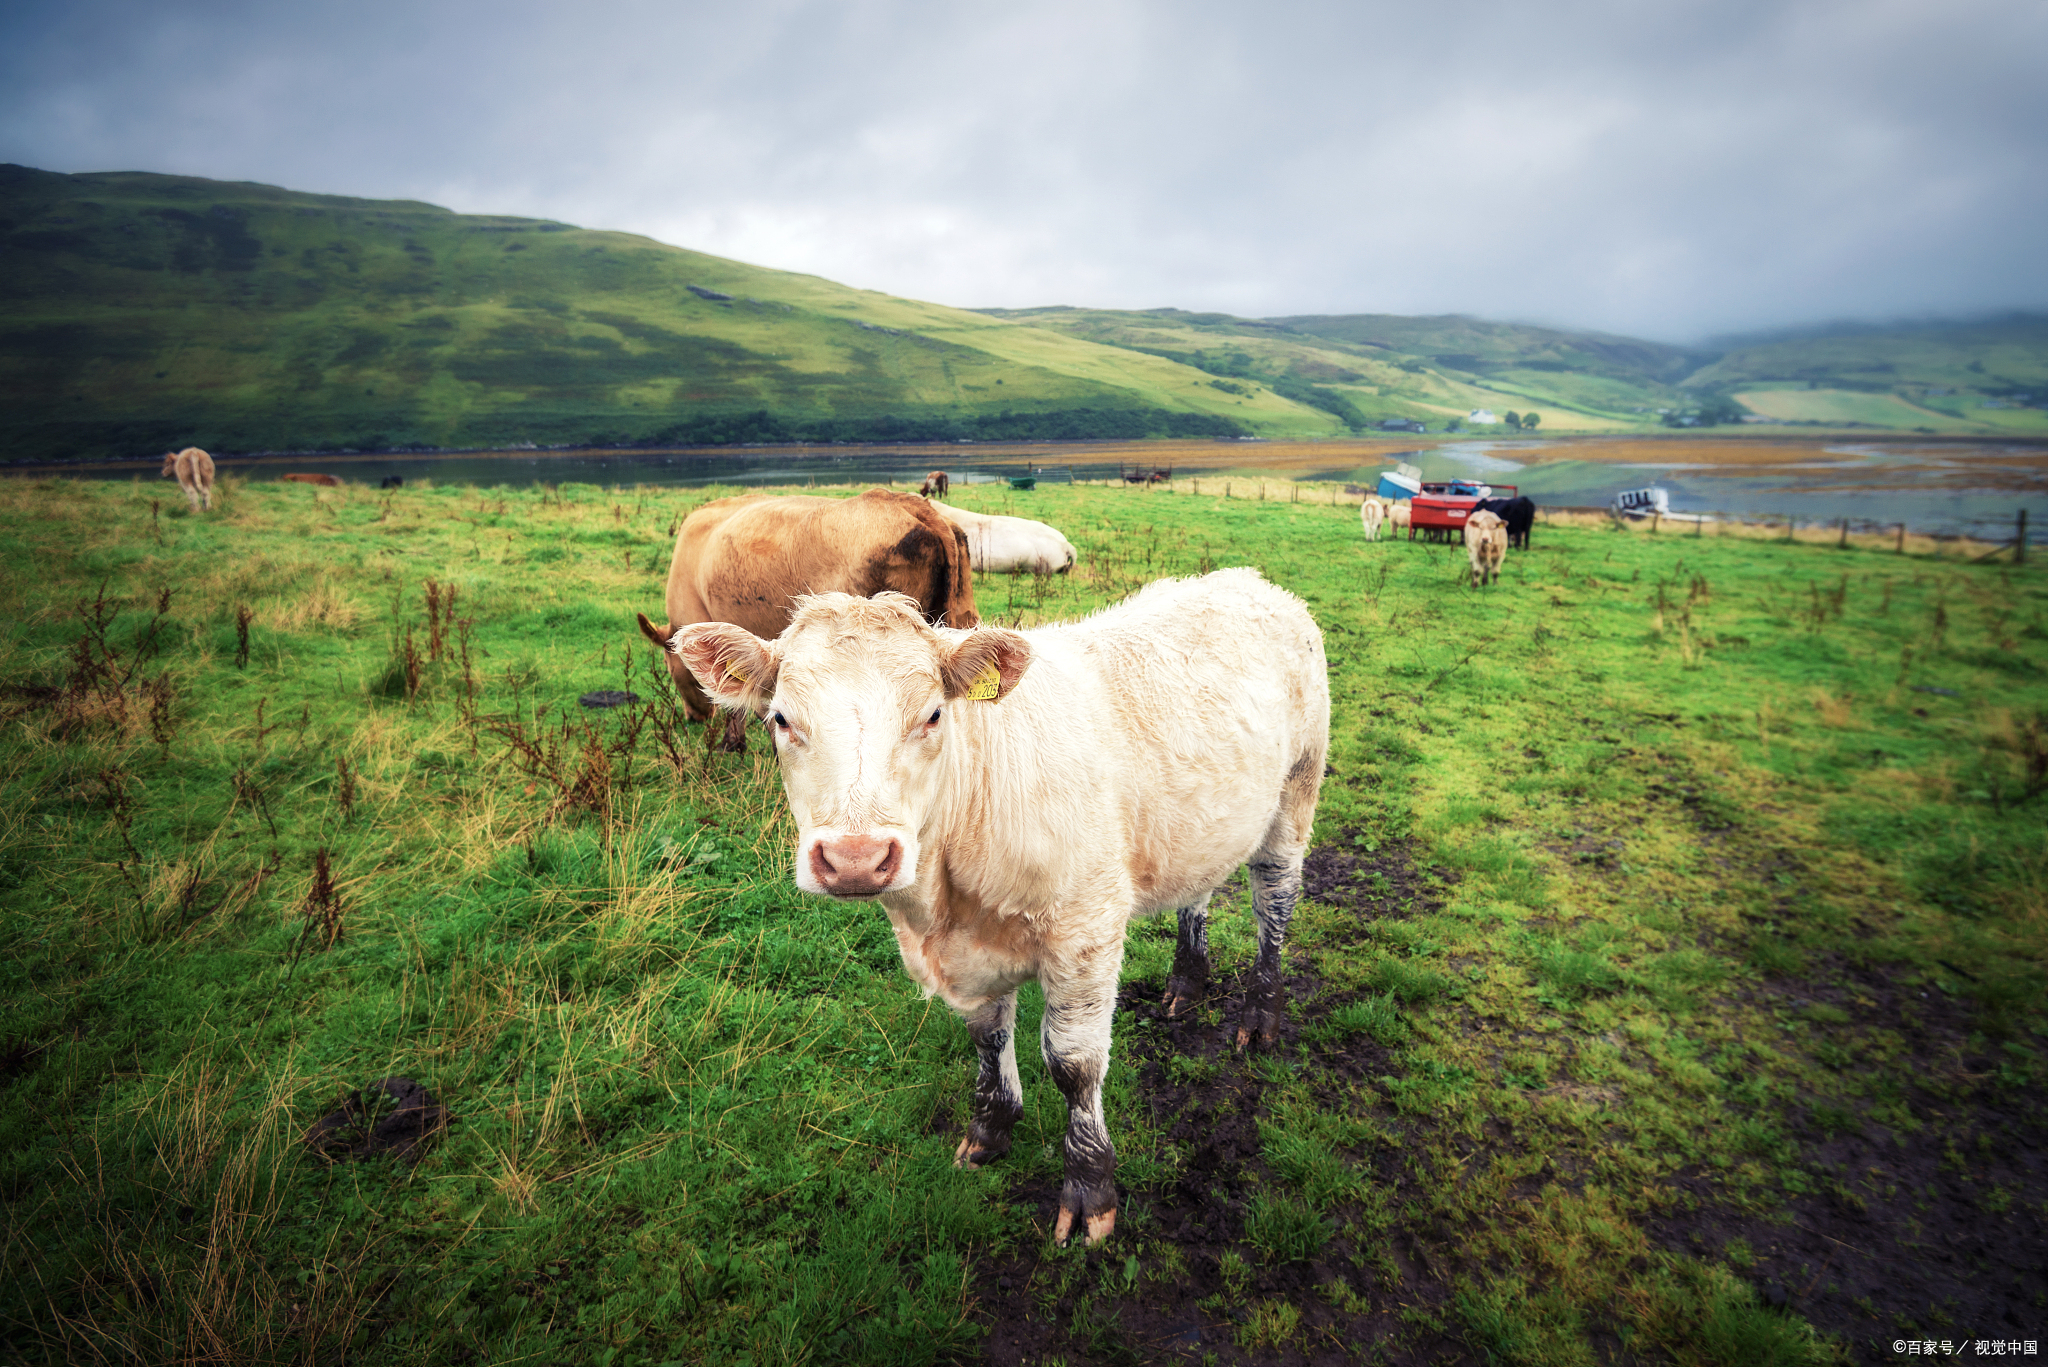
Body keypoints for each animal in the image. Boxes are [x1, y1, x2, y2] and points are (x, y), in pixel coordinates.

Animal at [659, 573, 1327, 1246]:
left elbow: (1074, 1063)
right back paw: (1186, 982)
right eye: (781, 718)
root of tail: (1244, 581)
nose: (855, 858)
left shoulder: (1087, 929)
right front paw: (991, 1129)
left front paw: (1090, 1188)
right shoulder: (967, 958)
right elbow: (987, 1036)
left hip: (1296, 795)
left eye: (933, 714)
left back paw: (1261, 1016)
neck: (945, 907)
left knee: (1274, 904)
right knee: (1200, 891)